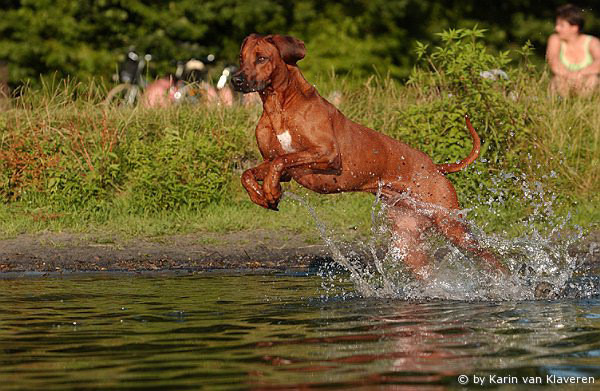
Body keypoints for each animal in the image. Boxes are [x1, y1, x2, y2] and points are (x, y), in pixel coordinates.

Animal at [232, 34, 504, 278]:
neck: (279, 106)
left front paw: (270, 191)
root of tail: (436, 167)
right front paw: (263, 195)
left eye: (262, 58)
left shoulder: (328, 154)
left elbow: (282, 160)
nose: (236, 79)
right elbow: (250, 172)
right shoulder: (282, 167)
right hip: (408, 239)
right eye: (241, 58)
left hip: (451, 223)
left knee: (491, 257)